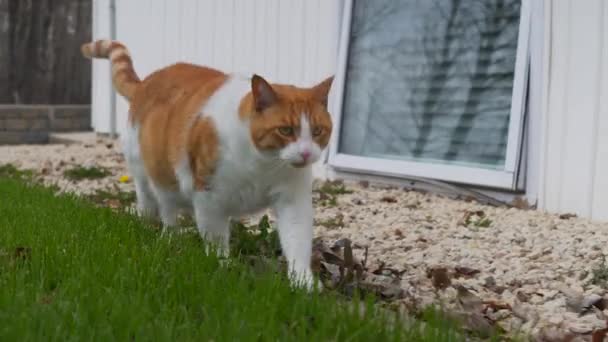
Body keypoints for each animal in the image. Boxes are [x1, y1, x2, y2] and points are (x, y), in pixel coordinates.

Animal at [82, 38, 332, 288]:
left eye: (318, 131)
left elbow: (297, 241)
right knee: (161, 207)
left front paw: (303, 282)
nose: (307, 153)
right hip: (152, 176)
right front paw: (223, 268)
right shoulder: (208, 195)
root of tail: (147, 81)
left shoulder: (293, 200)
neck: (262, 164)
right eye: (286, 130)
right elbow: (215, 238)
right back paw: (167, 236)